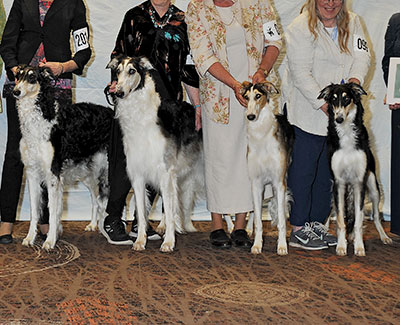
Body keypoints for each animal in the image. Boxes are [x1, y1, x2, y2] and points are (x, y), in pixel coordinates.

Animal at [13, 65, 111, 248]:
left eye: (32, 77)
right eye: (18, 76)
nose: (15, 91)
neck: (43, 118)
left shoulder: (53, 174)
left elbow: (52, 211)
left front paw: (50, 241)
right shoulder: (32, 172)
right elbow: (34, 211)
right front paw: (30, 238)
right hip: (89, 173)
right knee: (96, 199)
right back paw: (93, 224)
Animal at [106, 55, 203, 251]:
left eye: (132, 71)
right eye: (117, 71)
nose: (118, 92)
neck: (142, 119)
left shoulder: (165, 171)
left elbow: (169, 209)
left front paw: (169, 242)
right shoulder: (137, 174)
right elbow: (142, 213)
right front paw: (140, 241)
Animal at [241, 80, 294, 253]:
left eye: (258, 96)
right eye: (246, 97)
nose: (250, 117)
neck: (261, 136)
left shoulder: (279, 182)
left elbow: (282, 218)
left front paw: (282, 246)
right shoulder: (256, 183)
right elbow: (258, 219)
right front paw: (257, 245)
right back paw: (248, 228)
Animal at [318, 82, 390, 254]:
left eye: (347, 98)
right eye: (333, 99)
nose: (338, 119)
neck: (346, 133)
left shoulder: (359, 182)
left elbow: (358, 219)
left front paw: (359, 247)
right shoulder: (338, 182)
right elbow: (340, 220)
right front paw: (341, 245)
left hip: (374, 188)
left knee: (376, 217)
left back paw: (384, 236)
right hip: (336, 191)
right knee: (332, 212)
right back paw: (325, 228)